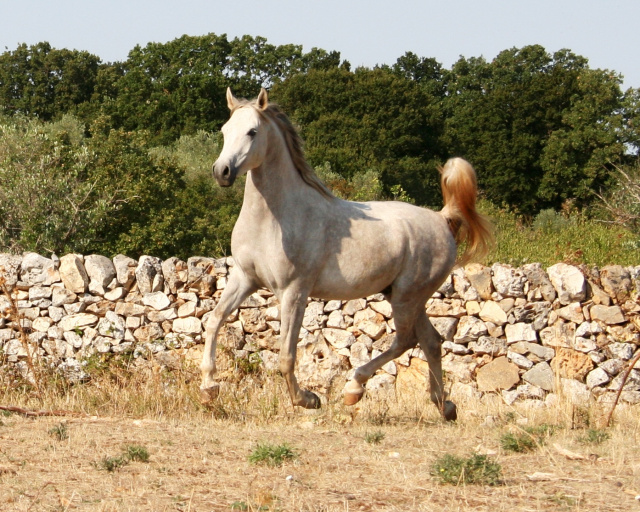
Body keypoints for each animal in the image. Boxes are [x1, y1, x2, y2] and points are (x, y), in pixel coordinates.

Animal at [202, 88, 492, 422]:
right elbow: (214, 320)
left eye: (252, 131)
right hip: (404, 295)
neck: (274, 219)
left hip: (408, 296)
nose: (222, 172)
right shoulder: (245, 278)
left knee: (406, 340)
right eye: (225, 130)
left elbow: (286, 356)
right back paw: (444, 405)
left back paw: (354, 389)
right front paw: (209, 388)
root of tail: (442, 219)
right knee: (431, 342)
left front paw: (308, 399)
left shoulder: (294, 291)